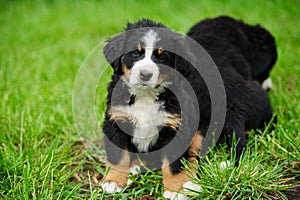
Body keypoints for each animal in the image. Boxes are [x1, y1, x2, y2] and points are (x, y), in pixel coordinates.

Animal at [100, 16, 276, 198]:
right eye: (135, 53)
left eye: (162, 57)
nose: (145, 74)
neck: (145, 96)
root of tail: (233, 108)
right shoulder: (116, 121)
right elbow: (119, 156)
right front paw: (113, 182)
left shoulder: (175, 128)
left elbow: (173, 164)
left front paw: (174, 191)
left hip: (201, 131)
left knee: (193, 158)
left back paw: (190, 183)